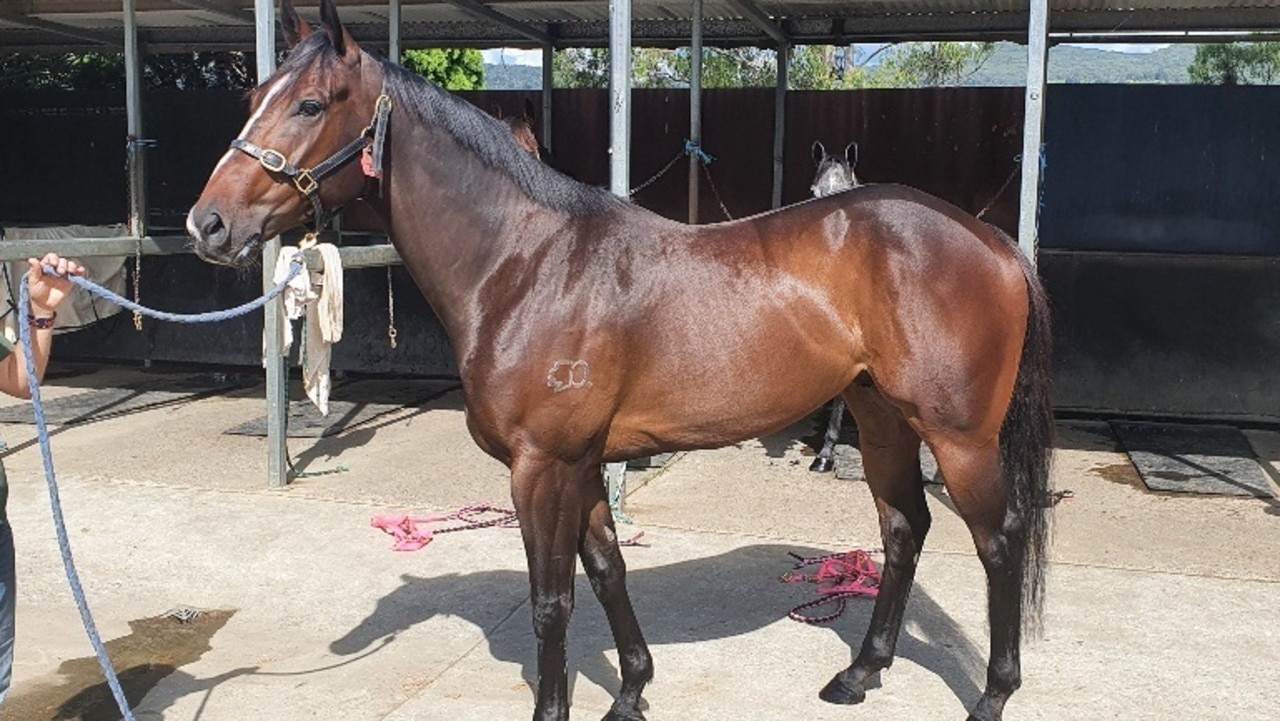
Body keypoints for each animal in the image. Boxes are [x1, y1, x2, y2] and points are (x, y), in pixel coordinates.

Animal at [185, 2, 1054, 717]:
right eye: (254, 96)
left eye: (310, 103)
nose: (208, 224)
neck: (524, 265)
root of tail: (991, 239)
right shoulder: (580, 462)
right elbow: (605, 570)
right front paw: (632, 690)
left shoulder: (540, 466)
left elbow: (552, 601)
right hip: (879, 416)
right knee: (905, 527)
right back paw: (860, 673)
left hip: (959, 438)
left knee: (999, 540)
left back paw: (993, 693)